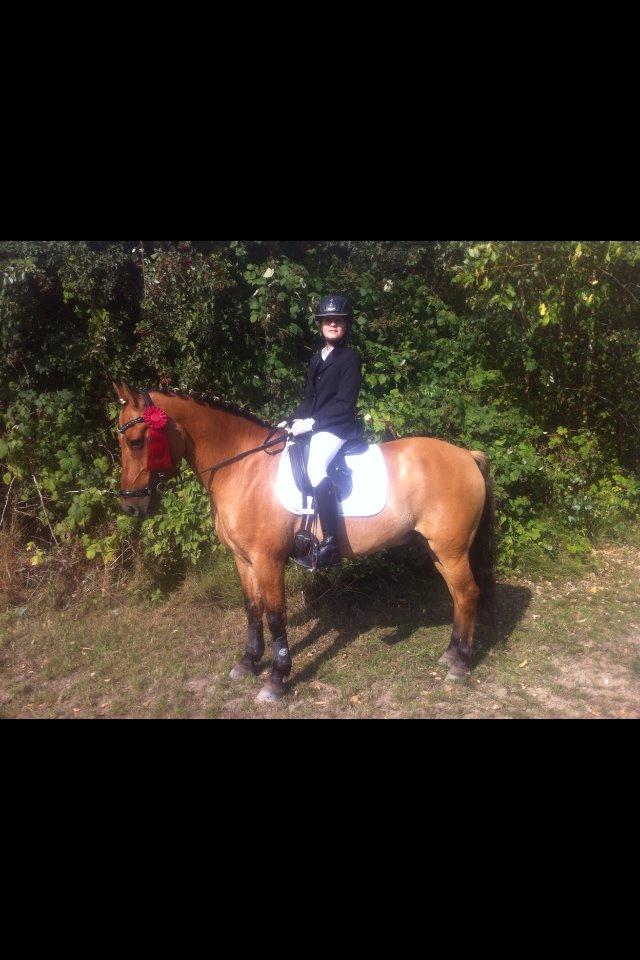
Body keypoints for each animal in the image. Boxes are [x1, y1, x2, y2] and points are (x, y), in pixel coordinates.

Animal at [113, 382, 497, 704]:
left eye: (136, 441)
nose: (131, 506)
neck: (244, 468)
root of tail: (466, 455)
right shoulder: (243, 559)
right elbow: (252, 608)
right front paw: (248, 663)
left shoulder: (267, 560)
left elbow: (275, 616)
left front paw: (276, 680)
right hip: (437, 550)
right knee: (458, 596)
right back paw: (450, 654)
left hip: (451, 550)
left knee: (468, 594)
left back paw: (461, 665)